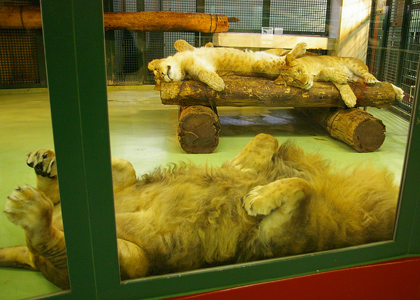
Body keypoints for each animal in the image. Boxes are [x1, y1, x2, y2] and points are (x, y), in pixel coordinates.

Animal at [0, 134, 398, 288]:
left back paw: (33, 211)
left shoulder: (278, 239)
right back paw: (48, 163)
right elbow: (266, 143)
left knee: (52, 239)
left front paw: (255, 196)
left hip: (134, 262)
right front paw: (240, 170)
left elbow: (303, 187)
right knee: (118, 170)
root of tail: (37, 265)